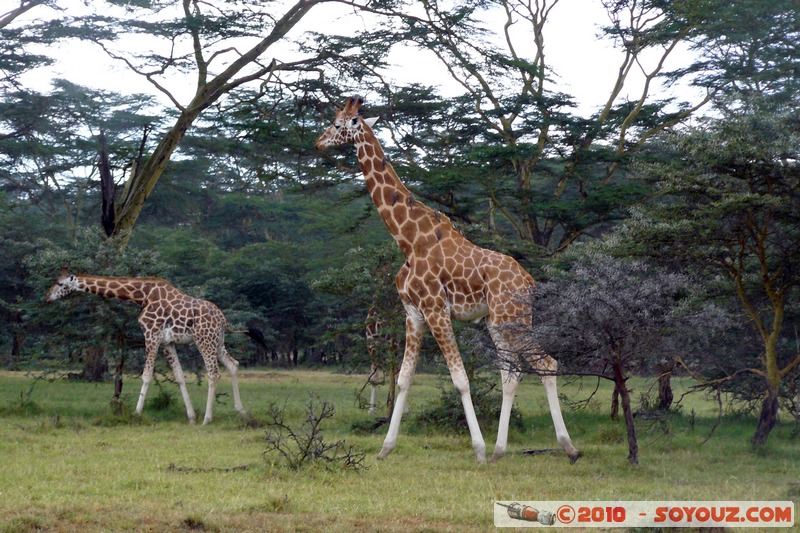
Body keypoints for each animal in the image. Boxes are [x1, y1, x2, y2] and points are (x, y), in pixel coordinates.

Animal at [45, 270, 245, 424]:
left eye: (60, 283)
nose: (47, 297)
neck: (142, 296)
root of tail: (222, 318)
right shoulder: (167, 342)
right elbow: (179, 376)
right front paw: (191, 417)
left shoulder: (151, 335)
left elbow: (147, 375)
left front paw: (136, 414)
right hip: (217, 341)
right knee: (233, 364)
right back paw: (241, 411)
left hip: (204, 340)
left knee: (214, 373)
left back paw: (208, 419)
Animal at [314, 95, 580, 462]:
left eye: (338, 124)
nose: (318, 143)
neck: (407, 239)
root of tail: (529, 281)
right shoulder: (414, 314)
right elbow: (403, 379)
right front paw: (385, 449)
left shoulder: (436, 309)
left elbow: (460, 379)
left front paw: (478, 449)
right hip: (497, 322)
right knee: (511, 372)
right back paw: (500, 450)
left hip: (513, 319)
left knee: (546, 362)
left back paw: (567, 447)